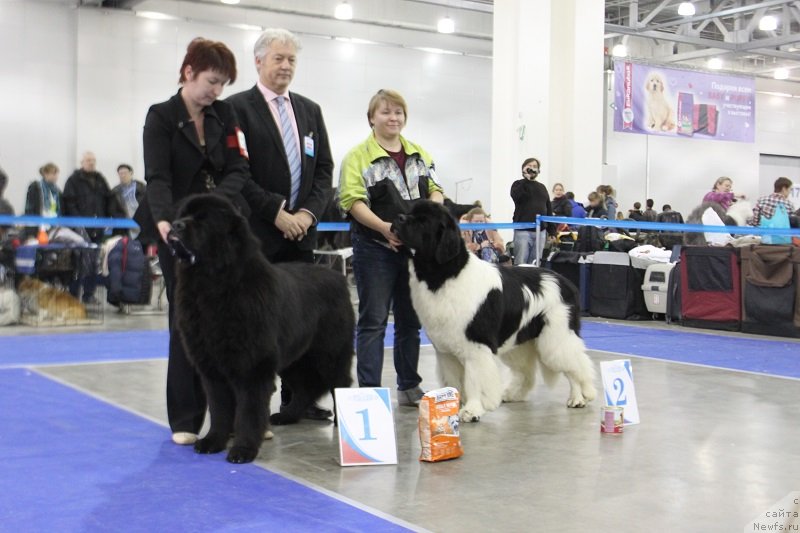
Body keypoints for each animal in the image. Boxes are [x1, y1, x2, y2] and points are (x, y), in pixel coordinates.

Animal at [170, 192, 354, 462]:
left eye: (203, 219)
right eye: (183, 215)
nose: (174, 226)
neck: (215, 283)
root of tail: (338, 278)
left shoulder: (253, 365)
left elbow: (248, 410)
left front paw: (243, 449)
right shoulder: (211, 366)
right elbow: (219, 409)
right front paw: (213, 441)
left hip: (328, 354)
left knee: (338, 382)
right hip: (294, 358)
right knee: (305, 388)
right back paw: (286, 416)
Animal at [392, 202, 592, 422]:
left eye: (423, 221)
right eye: (410, 212)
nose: (398, 218)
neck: (445, 274)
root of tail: (566, 282)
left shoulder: (476, 347)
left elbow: (474, 381)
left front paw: (472, 410)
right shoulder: (446, 352)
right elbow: (453, 381)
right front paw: (451, 408)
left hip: (555, 340)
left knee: (576, 366)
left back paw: (579, 397)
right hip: (520, 341)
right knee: (527, 372)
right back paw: (512, 394)